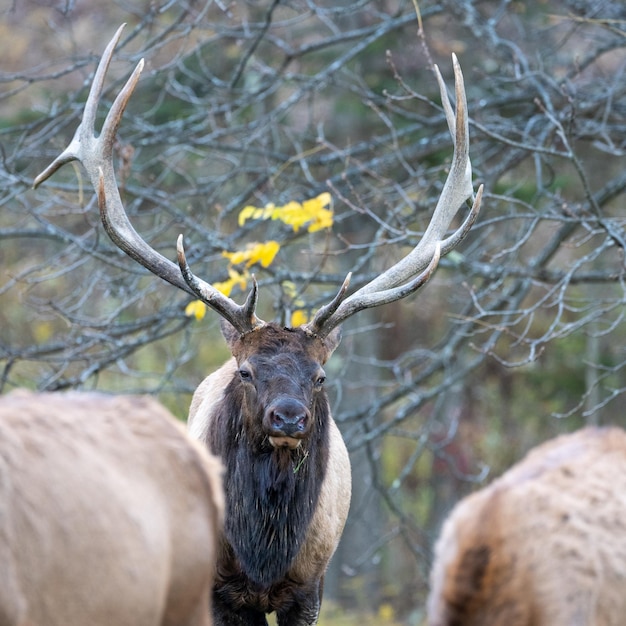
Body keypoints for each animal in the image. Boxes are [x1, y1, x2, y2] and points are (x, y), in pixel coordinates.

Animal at [33, 24, 482, 624]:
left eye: (320, 377)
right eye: (245, 371)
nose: (289, 417)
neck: (264, 552)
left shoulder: (310, 584)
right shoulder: (221, 590)